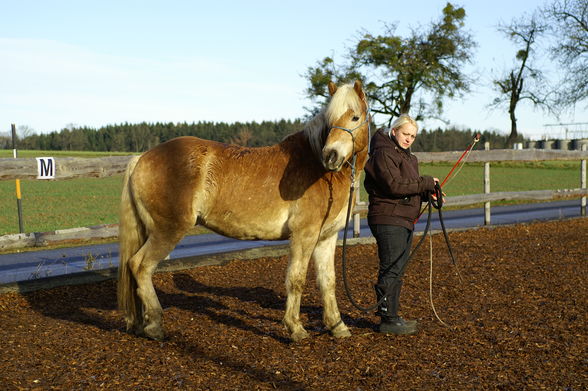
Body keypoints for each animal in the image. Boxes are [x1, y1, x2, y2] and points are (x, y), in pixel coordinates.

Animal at [117, 80, 370, 344]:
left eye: (355, 117)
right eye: (330, 121)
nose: (330, 156)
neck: (317, 170)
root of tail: (141, 158)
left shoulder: (326, 238)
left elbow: (328, 281)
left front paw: (337, 326)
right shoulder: (304, 235)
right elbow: (296, 279)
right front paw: (295, 328)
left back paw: (142, 323)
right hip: (167, 231)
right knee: (140, 266)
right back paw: (155, 325)